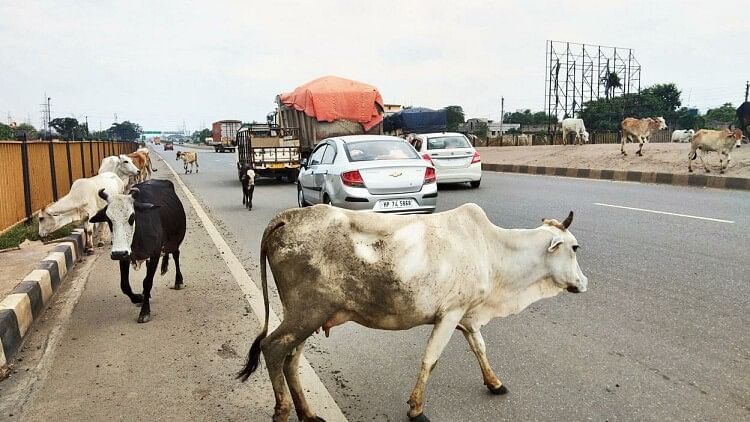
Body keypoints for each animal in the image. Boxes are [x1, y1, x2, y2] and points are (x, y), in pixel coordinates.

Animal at [90, 179, 188, 324]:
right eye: (108, 219)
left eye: (132, 217)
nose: (118, 253)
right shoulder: (124, 257)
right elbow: (124, 285)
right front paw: (139, 298)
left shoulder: (154, 254)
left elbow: (147, 282)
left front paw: (144, 312)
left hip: (175, 240)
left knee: (176, 255)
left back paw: (178, 281)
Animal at [238, 204, 592, 422]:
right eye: (574, 248)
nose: (584, 283)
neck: (491, 249)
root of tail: (286, 217)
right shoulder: (450, 314)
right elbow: (430, 359)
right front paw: (416, 409)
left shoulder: (467, 315)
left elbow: (480, 348)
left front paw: (494, 383)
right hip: (305, 313)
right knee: (273, 348)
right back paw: (283, 411)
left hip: (306, 317)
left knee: (291, 359)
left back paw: (308, 414)